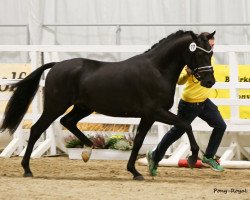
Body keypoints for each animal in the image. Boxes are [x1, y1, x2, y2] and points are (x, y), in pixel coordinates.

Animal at [0, 29, 215, 180]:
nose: (210, 81)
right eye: (199, 54)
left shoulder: (148, 116)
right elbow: (185, 125)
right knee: (37, 129)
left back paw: (87, 150)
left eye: (211, 53)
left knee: (68, 121)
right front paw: (192, 158)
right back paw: (27, 169)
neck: (157, 70)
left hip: (83, 108)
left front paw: (134, 171)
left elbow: (138, 141)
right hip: (55, 106)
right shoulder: (155, 112)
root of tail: (56, 65)